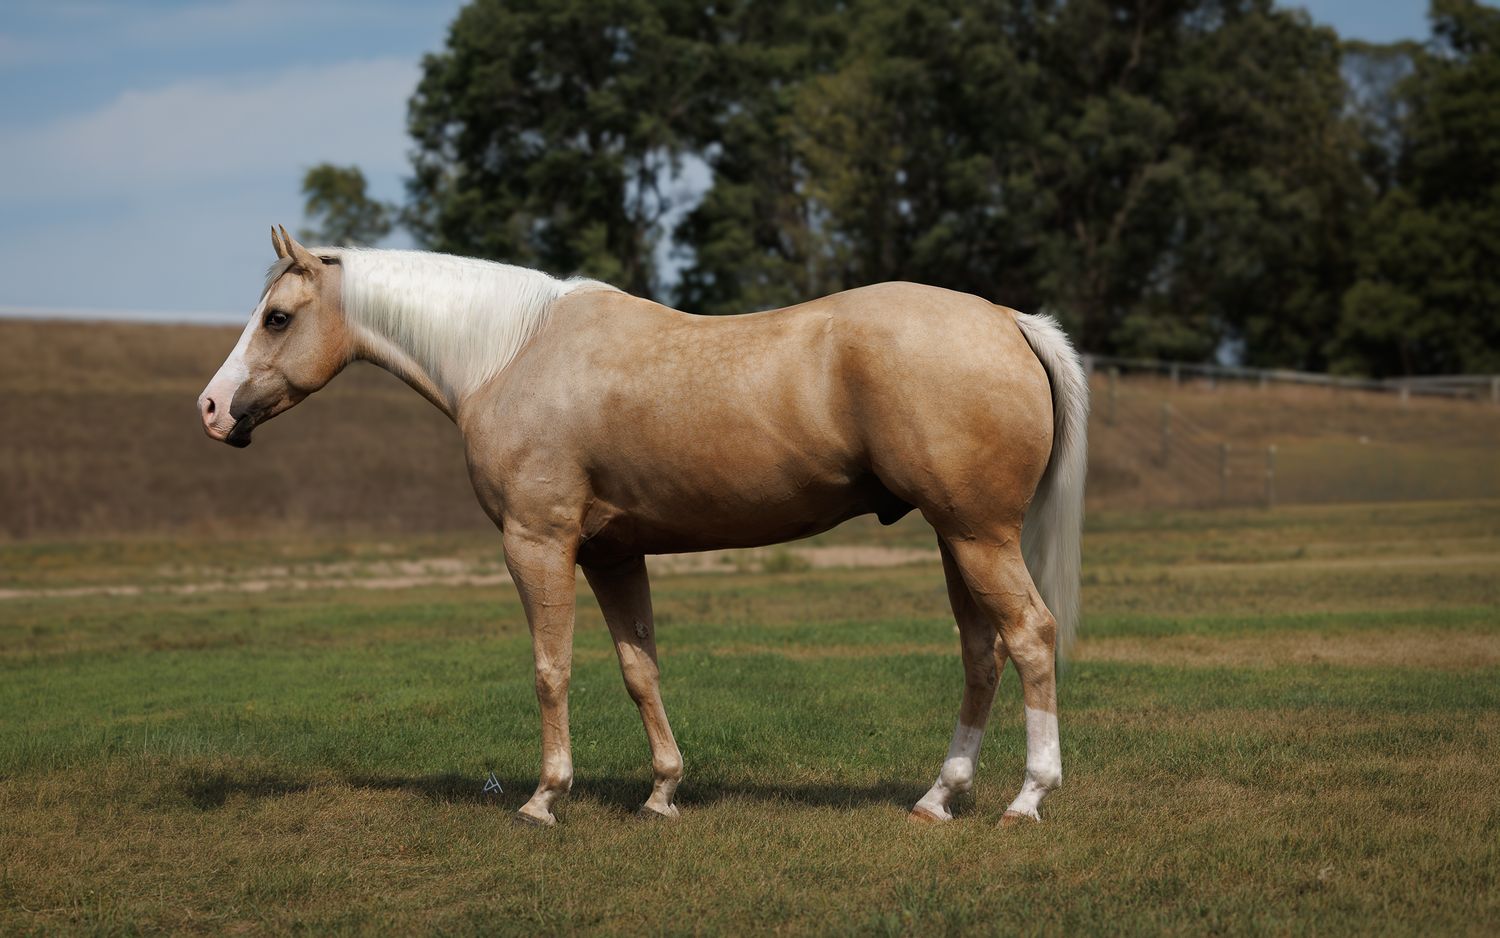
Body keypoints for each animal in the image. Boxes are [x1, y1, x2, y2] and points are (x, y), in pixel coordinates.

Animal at [198, 226, 1088, 828]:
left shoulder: (538, 544)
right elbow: (640, 670)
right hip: (955, 537)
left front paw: (545, 797)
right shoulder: (613, 555)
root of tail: (1007, 319)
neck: (509, 353)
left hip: (978, 536)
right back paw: (938, 796)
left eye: (277, 318)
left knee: (1031, 636)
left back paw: (1027, 797)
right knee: (982, 651)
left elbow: (550, 669)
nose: (212, 409)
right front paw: (662, 791)